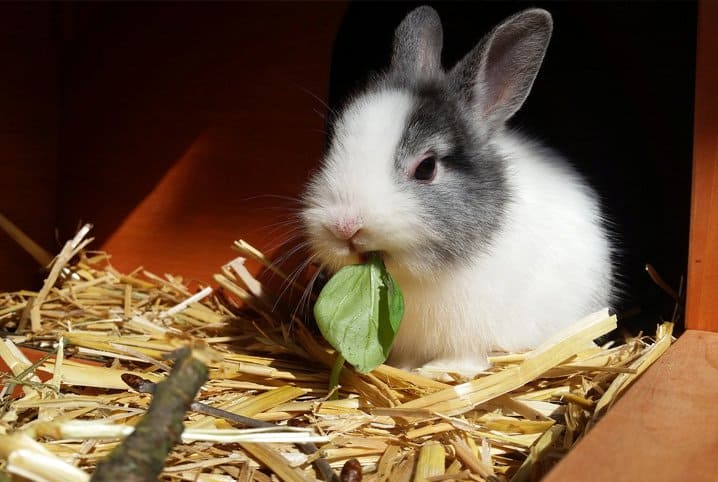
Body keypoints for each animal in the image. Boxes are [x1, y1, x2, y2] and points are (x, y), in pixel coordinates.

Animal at [300, 6, 616, 376]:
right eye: (334, 144)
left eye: (426, 167)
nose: (344, 227)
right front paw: (407, 369)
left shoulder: (474, 336)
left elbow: (467, 359)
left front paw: (434, 371)